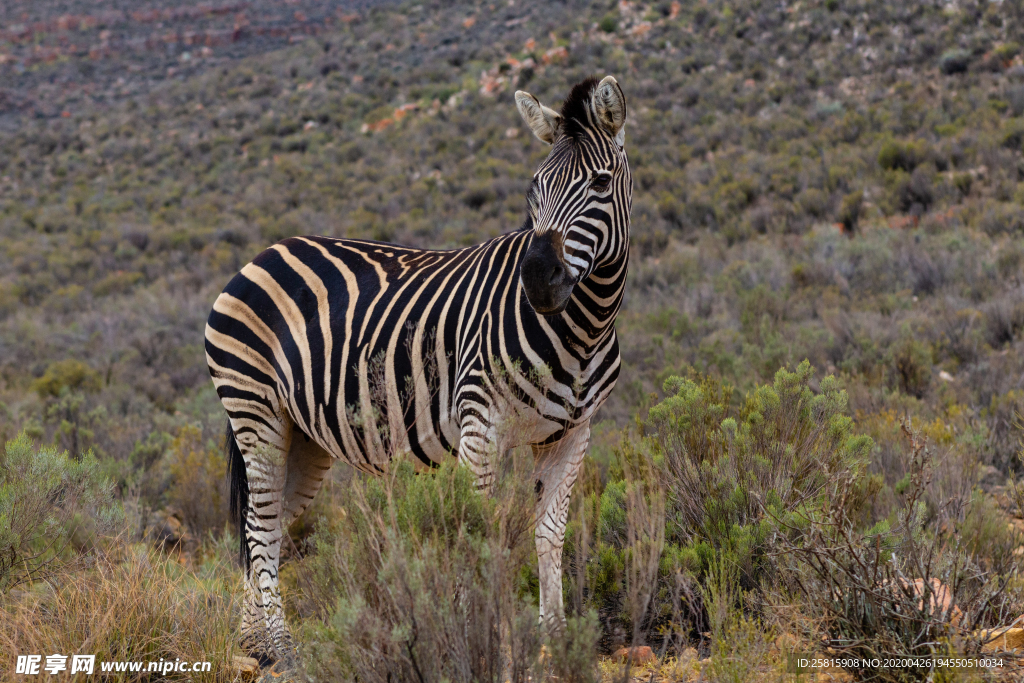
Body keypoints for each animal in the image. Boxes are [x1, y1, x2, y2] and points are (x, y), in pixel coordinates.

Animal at [205, 76, 630, 667]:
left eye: (599, 182)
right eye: (534, 190)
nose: (538, 279)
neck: (583, 329)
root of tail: (260, 255)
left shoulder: (572, 433)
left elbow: (549, 535)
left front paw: (557, 644)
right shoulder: (480, 424)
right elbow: (479, 534)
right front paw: (484, 639)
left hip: (301, 437)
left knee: (259, 529)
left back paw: (255, 645)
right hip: (255, 412)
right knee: (263, 528)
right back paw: (285, 650)